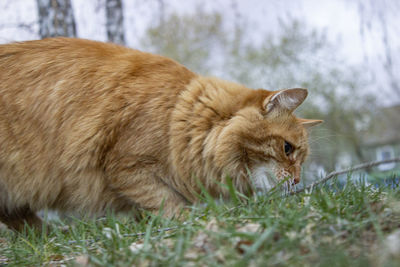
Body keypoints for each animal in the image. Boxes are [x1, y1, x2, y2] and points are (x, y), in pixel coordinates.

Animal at [0, 38, 318, 232]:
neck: (180, 117)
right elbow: (168, 202)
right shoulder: (126, 167)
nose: (297, 180)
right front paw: (190, 222)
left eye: (301, 159)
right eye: (287, 149)